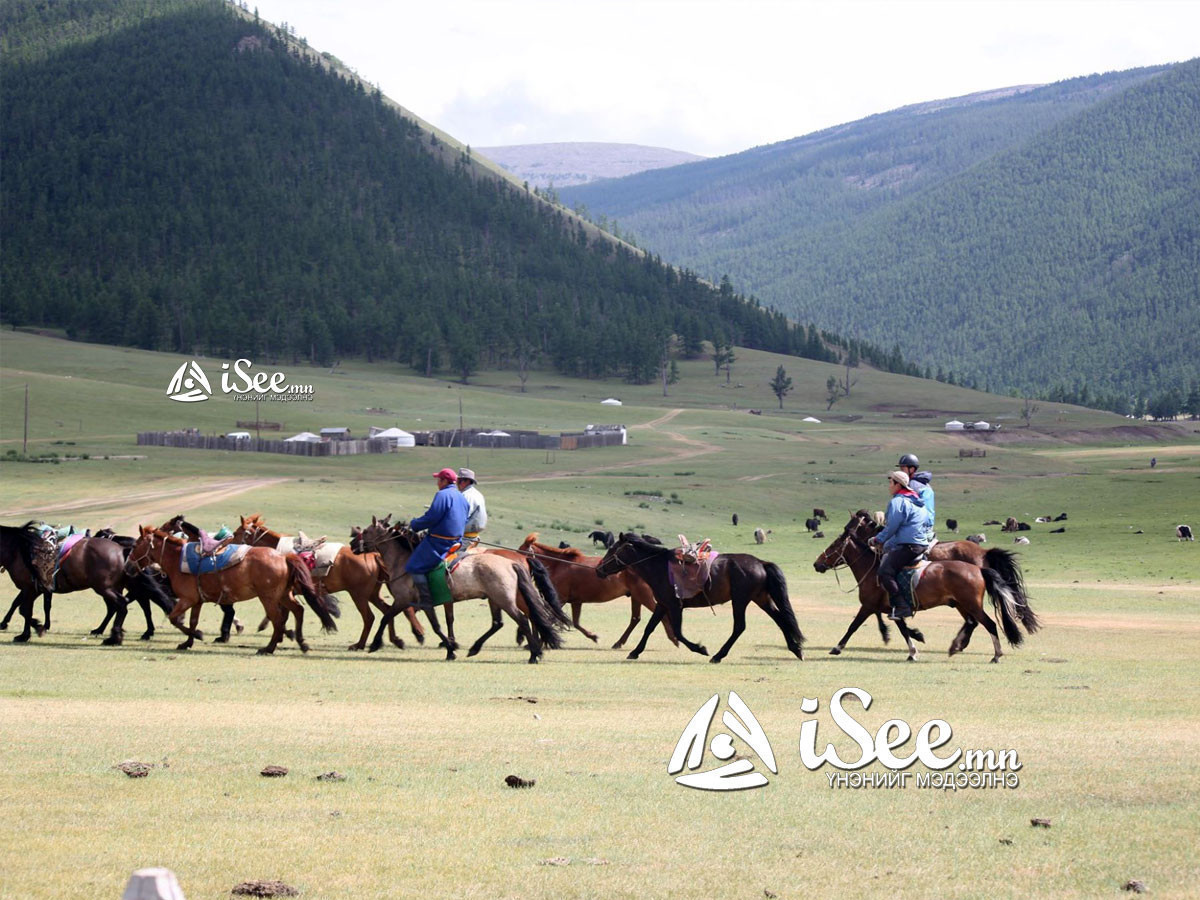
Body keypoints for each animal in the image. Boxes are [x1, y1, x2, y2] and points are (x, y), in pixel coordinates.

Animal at [127, 528, 340, 657]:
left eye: (136, 545)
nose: (128, 566)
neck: (177, 560)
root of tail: (283, 557)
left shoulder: (187, 599)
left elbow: (174, 619)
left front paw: (198, 636)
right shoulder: (197, 601)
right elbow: (192, 621)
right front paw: (187, 642)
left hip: (269, 597)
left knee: (278, 619)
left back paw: (268, 648)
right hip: (283, 595)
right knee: (298, 611)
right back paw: (302, 643)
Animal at [513, 532, 676, 652]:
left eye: (522, 551)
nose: (516, 563)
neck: (558, 565)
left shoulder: (560, 599)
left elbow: (552, 618)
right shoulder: (575, 601)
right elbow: (575, 622)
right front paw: (593, 636)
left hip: (643, 596)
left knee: (661, 614)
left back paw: (673, 638)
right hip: (636, 597)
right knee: (635, 619)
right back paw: (619, 643)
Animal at [592, 532, 806, 667]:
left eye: (612, 550)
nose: (598, 570)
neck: (658, 567)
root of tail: (761, 563)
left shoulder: (675, 606)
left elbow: (678, 632)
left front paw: (701, 649)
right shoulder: (663, 604)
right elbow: (649, 628)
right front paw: (635, 652)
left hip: (740, 600)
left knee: (740, 627)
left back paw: (718, 656)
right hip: (760, 599)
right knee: (780, 619)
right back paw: (796, 649)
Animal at [816, 513, 1041, 662]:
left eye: (834, 546)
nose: (817, 564)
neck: (874, 568)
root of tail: (980, 564)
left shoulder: (869, 606)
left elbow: (853, 625)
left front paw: (837, 647)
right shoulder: (891, 608)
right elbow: (902, 628)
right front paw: (912, 646)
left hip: (969, 604)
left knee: (987, 624)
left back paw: (993, 655)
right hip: (961, 603)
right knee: (973, 623)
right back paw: (957, 646)